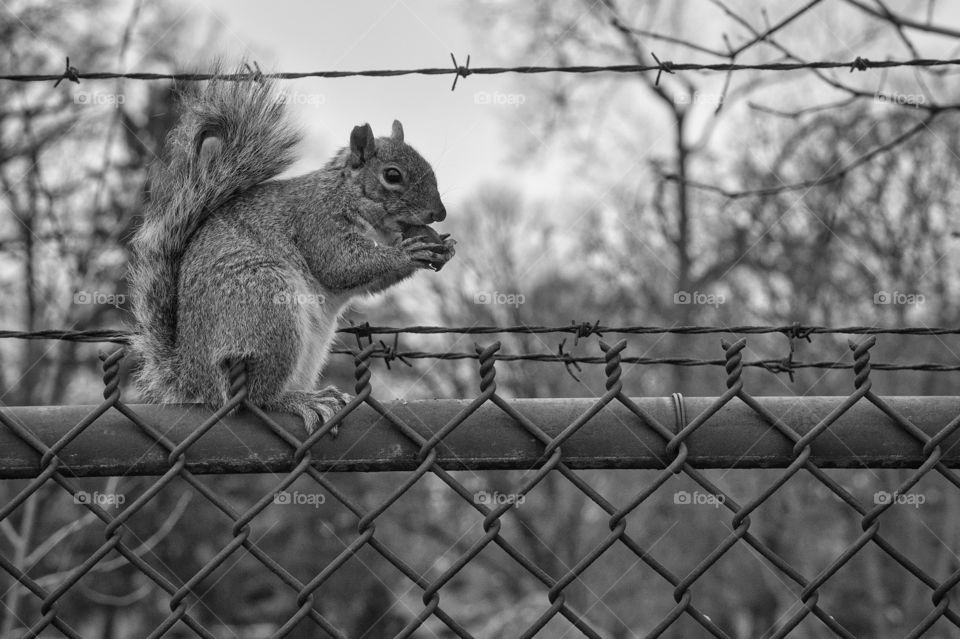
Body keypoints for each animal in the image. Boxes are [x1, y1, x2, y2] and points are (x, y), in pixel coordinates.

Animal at [129, 66, 455, 433]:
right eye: (392, 175)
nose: (439, 213)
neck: (346, 193)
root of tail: (192, 377)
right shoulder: (316, 221)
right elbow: (340, 265)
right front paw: (410, 253)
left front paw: (444, 249)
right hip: (265, 307)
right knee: (258, 398)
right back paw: (298, 400)